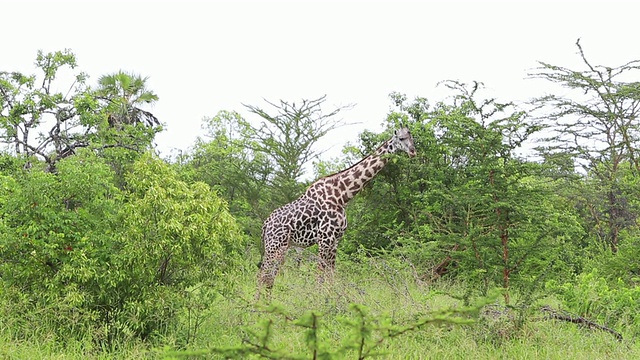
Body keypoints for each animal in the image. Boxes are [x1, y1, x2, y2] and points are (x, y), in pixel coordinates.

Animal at [258, 126, 418, 298]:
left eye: (412, 137)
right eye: (401, 139)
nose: (413, 151)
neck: (342, 196)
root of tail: (265, 225)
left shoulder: (335, 240)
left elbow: (331, 277)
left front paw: (331, 300)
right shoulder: (325, 239)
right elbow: (320, 276)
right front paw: (317, 300)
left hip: (281, 248)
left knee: (269, 278)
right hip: (274, 246)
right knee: (262, 275)